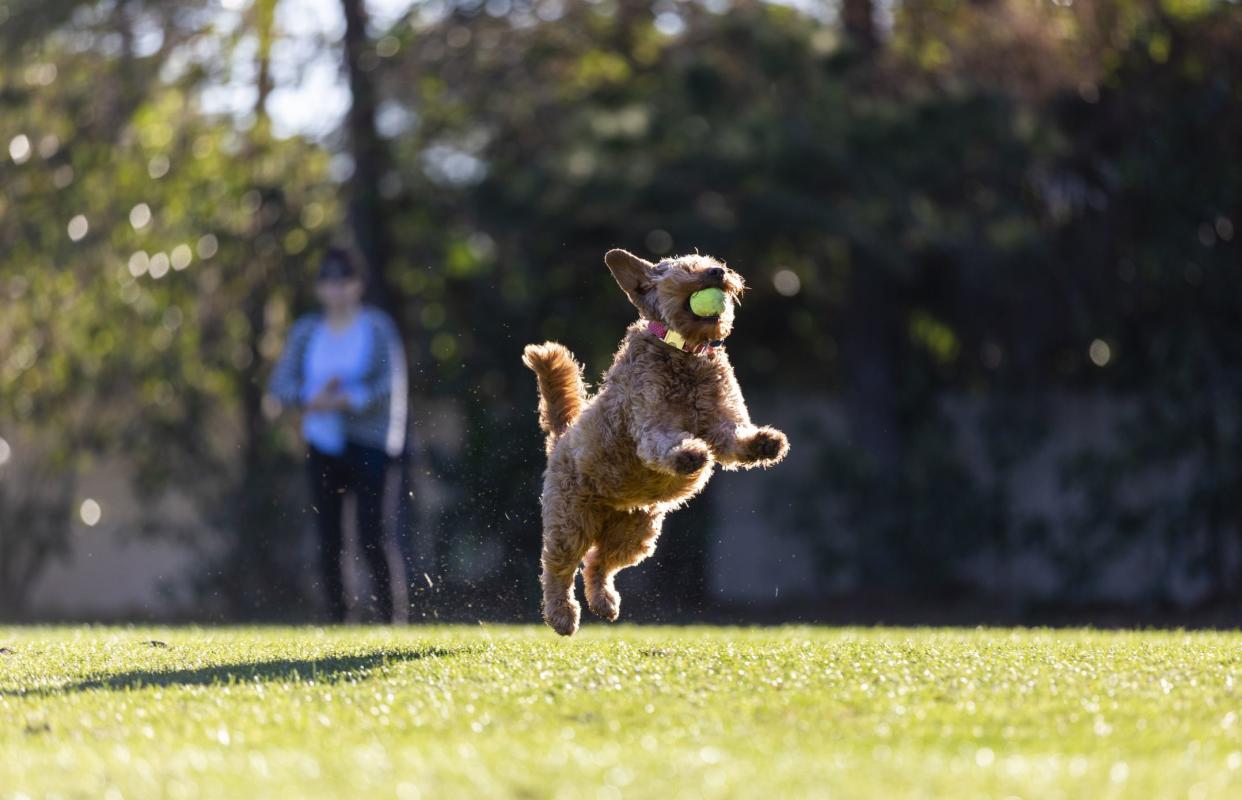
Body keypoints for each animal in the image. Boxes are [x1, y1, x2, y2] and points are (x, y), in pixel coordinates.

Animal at [521, 247, 789, 633]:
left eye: (713, 261)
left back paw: (604, 602)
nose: (717, 271)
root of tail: (562, 436)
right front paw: (690, 453)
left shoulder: (724, 421)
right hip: (570, 521)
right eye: (686, 268)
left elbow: (735, 436)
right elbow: (666, 442)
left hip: (636, 533)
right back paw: (562, 615)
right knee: (557, 569)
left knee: (598, 563)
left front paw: (765, 442)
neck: (687, 353)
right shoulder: (651, 424)